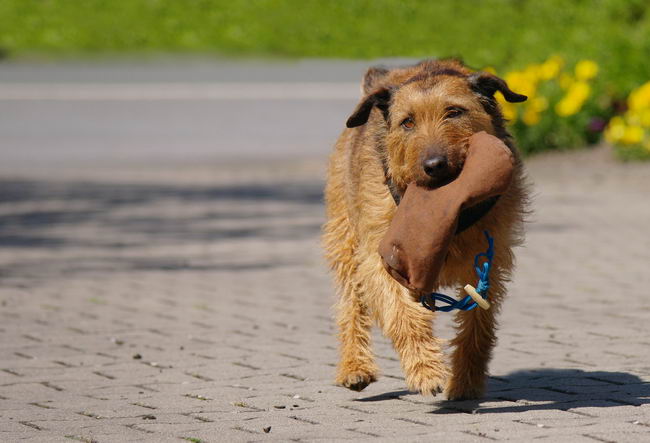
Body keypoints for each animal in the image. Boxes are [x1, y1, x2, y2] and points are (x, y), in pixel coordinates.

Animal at [322, 57, 528, 400]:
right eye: (407, 122)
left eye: (454, 111)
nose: (435, 165)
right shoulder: (381, 256)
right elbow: (402, 314)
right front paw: (426, 370)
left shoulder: (489, 263)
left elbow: (478, 325)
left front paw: (466, 382)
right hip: (345, 235)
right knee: (351, 301)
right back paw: (354, 366)